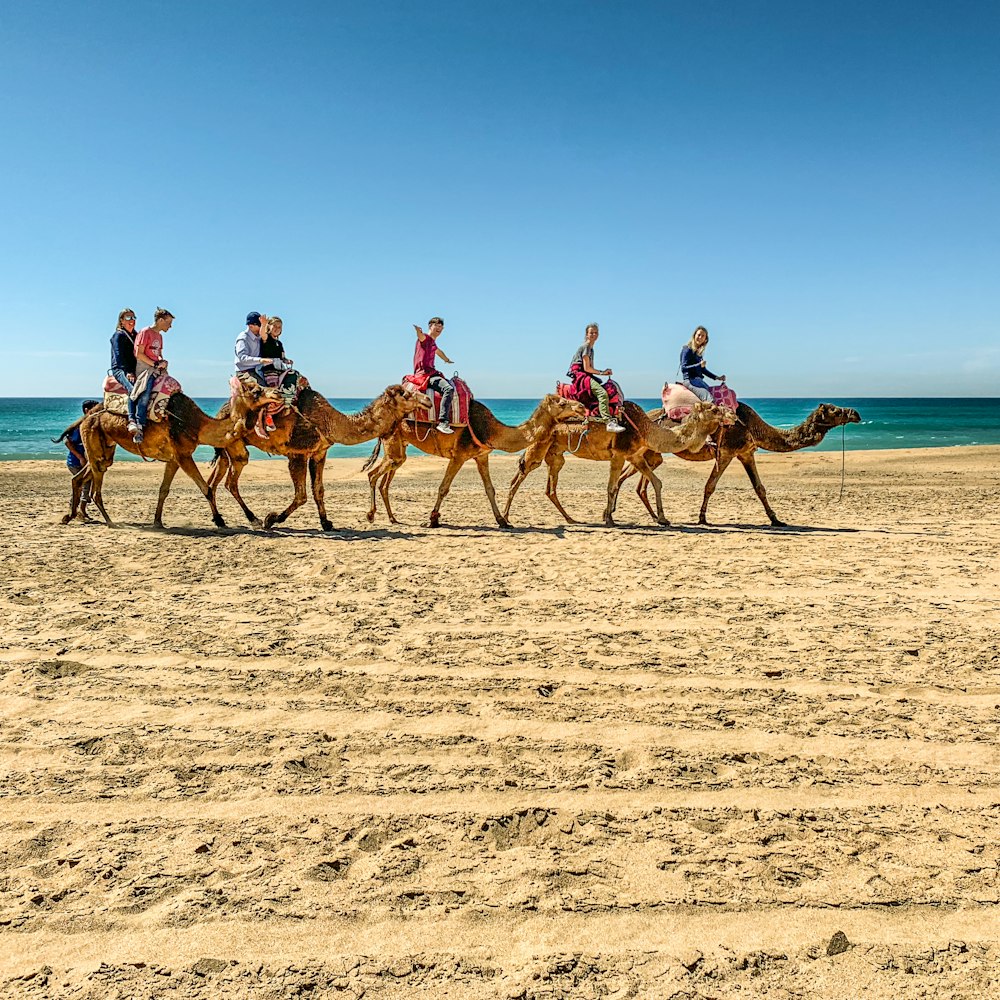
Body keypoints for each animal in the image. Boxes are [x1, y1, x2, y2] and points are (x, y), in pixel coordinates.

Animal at [57, 384, 282, 532]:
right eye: (256, 390)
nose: (278, 393)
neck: (198, 425)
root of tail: (87, 417)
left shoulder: (173, 459)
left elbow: (163, 490)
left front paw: (157, 522)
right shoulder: (183, 455)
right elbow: (206, 488)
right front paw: (220, 520)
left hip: (105, 449)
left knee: (80, 477)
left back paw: (68, 516)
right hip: (94, 440)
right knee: (95, 487)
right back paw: (110, 521)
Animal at [207, 382, 430, 532]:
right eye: (406, 394)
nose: (427, 400)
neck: (329, 422)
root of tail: (221, 412)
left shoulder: (319, 453)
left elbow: (318, 490)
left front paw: (326, 523)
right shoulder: (297, 453)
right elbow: (301, 495)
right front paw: (272, 519)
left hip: (226, 448)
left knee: (215, 481)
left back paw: (220, 520)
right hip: (236, 445)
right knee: (231, 481)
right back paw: (253, 519)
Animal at [366, 392, 588, 532]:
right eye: (561, 402)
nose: (582, 406)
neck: (490, 429)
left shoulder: (482, 455)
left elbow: (490, 489)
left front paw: (502, 521)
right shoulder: (459, 455)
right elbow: (443, 488)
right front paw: (432, 520)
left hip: (398, 449)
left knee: (384, 479)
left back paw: (392, 518)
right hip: (394, 446)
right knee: (372, 474)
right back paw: (371, 515)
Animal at [504, 398, 732, 528]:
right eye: (713, 409)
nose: (732, 414)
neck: (645, 429)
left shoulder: (635, 456)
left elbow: (656, 482)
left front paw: (663, 519)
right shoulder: (620, 454)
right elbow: (611, 487)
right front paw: (609, 519)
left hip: (556, 454)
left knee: (549, 487)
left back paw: (571, 519)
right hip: (539, 447)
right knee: (517, 478)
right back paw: (505, 519)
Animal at [620, 400, 864, 528]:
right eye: (834, 410)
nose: (855, 413)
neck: (753, 426)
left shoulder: (747, 453)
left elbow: (760, 488)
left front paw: (776, 520)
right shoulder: (727, 451)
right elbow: (710, 486)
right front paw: (702, 518)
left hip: (653, 454)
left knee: (639, 483)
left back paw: (654, 518)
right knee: (628, 477)